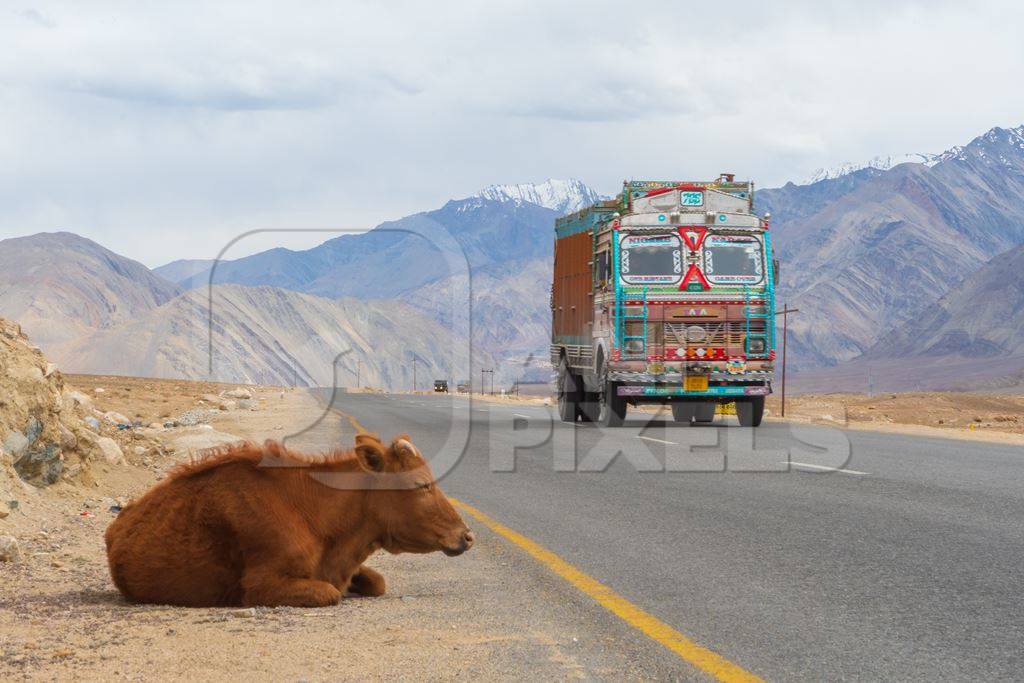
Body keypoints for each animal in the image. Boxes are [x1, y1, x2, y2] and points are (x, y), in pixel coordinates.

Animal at [103, 436, 471, 606]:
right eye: (421, 484)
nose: (466, 535)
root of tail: (117, 524)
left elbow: (378, 582)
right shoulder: (262, 585)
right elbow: (329, 594)